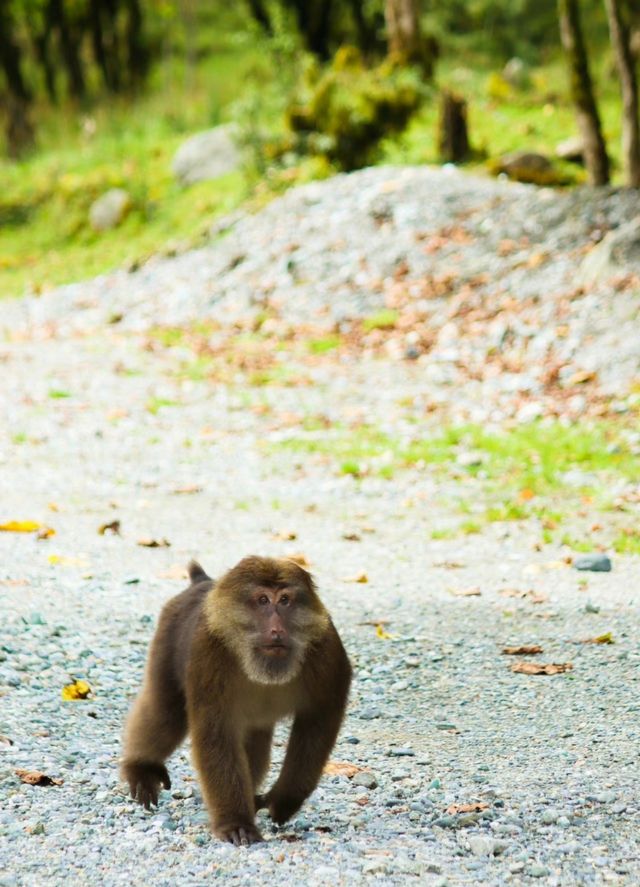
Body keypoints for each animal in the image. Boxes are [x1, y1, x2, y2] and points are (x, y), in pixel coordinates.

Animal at [120, 556, 350, 848]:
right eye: (262, 600)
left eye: (285, 600)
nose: (277, 629)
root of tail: (202, 582)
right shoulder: (208, 653)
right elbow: (216, 732)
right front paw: (236, 823)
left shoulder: (327, 650)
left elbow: (318, 720)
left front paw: (282, 800)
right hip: (167, 639)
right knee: (166, 710)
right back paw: (141, 767)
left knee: (254, 740)